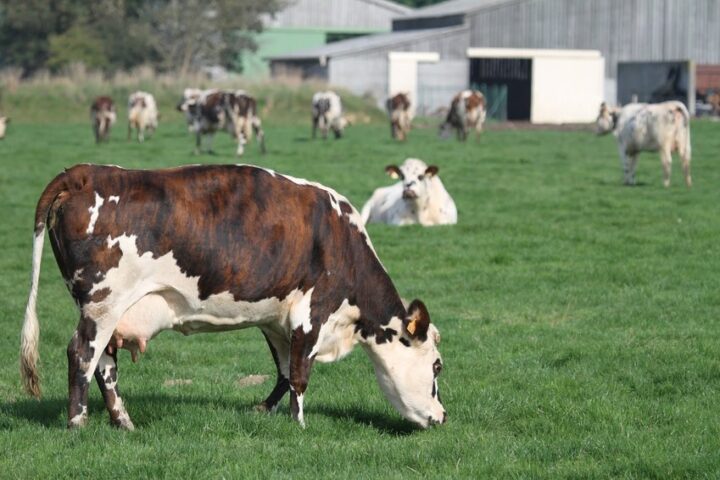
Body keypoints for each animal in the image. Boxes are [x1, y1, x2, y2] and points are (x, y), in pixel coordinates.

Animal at [21, 163, 444, 430]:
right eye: (437, 366)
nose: (442, 417)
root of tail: (84, 173)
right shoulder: (313, 312)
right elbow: (301, 375)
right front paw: (300, 426)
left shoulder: (277, 319)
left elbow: (284, 373)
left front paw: (264, 409)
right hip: (103, 304)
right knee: (82, 355)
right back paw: (78, 422)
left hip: (108, 312)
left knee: (105, 364)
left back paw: (123, 422)